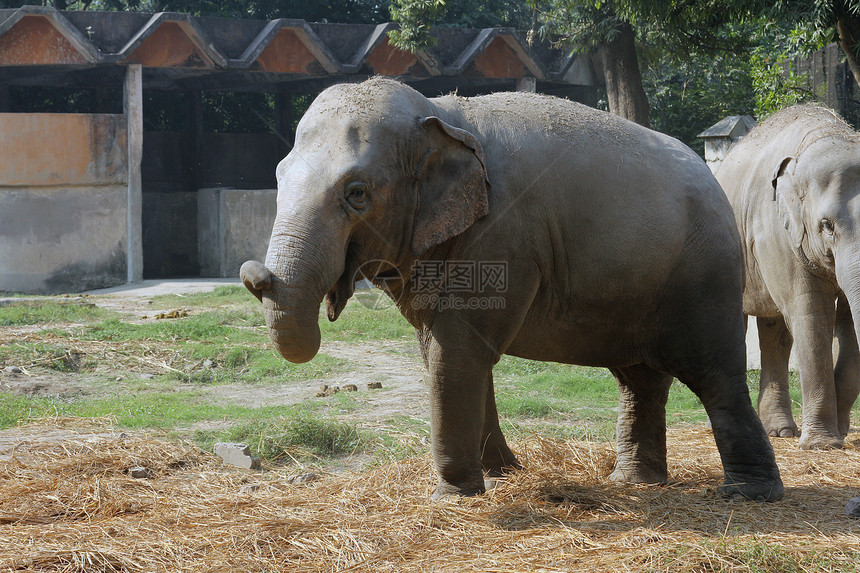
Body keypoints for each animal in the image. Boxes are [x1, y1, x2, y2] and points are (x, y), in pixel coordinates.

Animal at [242, 77, 788, 500]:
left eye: (357, 194)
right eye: (277, 177)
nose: (253, 276)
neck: (440, 114)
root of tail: (717, 179)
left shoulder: (503, 235)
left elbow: (458, 349)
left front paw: (454, 495)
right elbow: (443, 350)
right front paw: (500, 475)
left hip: (705, 278)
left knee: (714, 375)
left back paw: (748, 494)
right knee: (640, 380)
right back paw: (634, 483)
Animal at [720, 105, 860, 450]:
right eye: (826, 225)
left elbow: (845, 322)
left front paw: (840, 431)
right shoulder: (778, 234)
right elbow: (811, 315)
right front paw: (822, 445)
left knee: (775, 331)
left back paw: (780, 431)